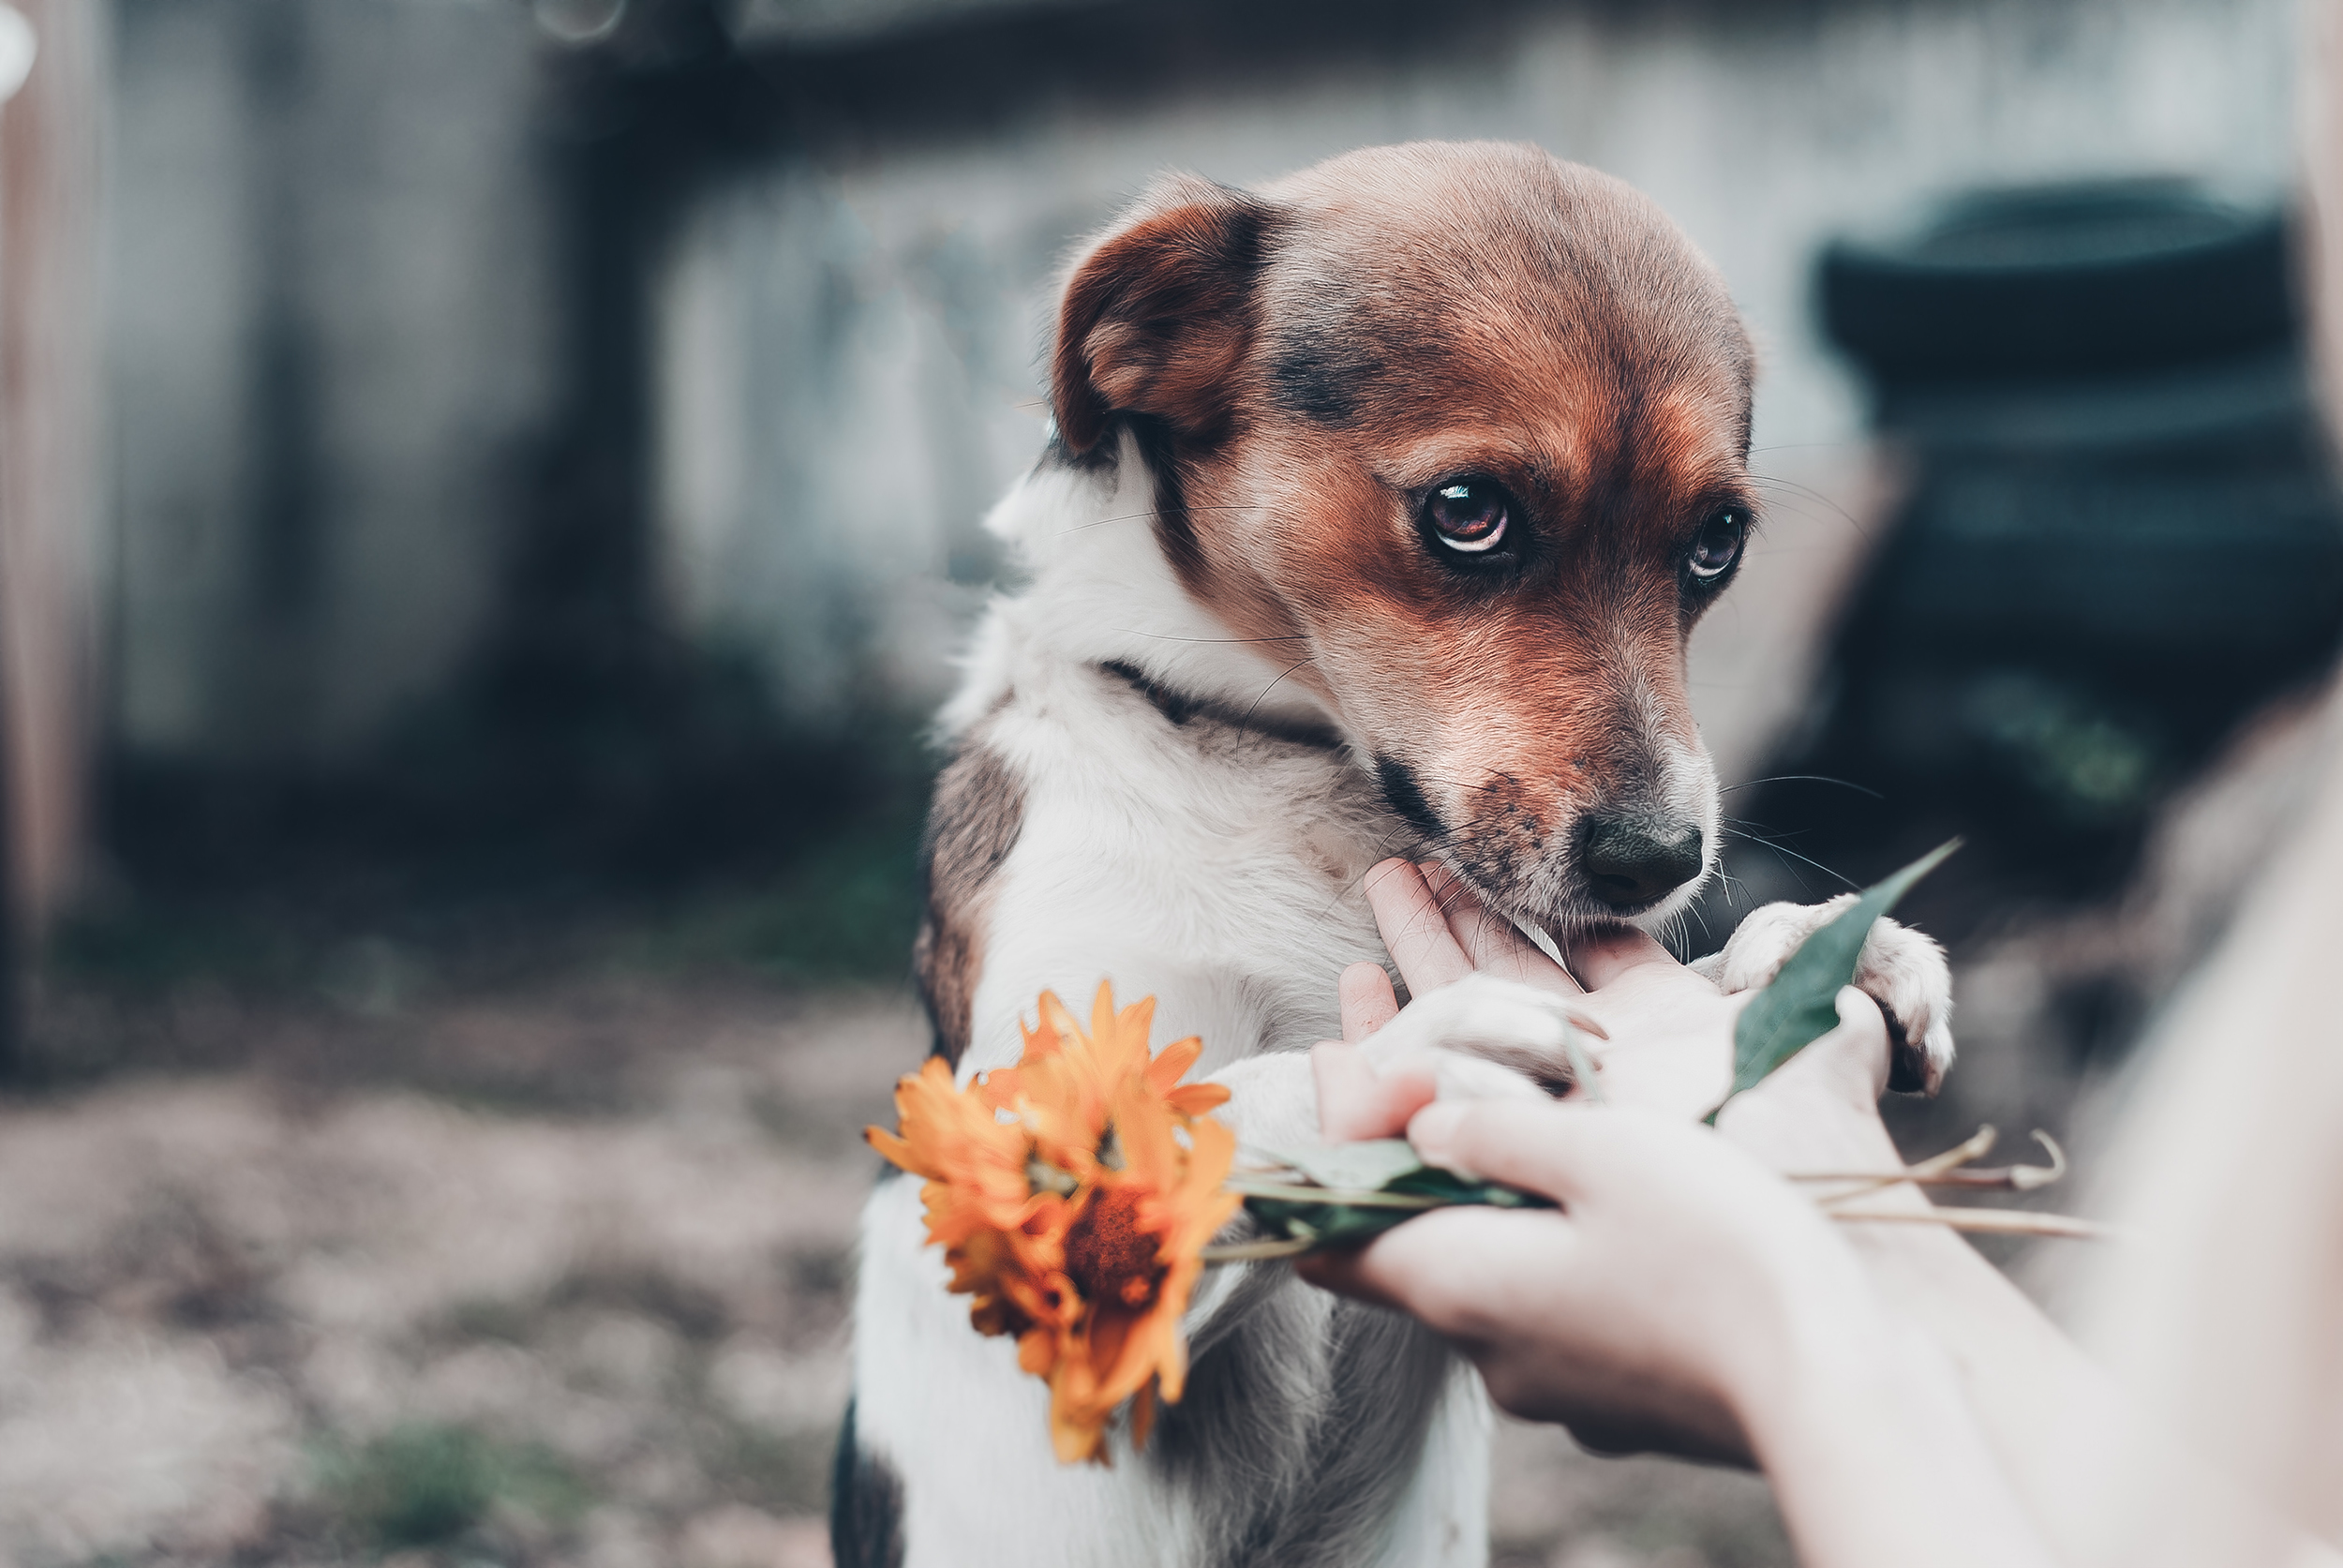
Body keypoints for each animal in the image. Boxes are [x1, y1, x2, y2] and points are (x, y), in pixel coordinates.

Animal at [834, 141, 1949, 1565]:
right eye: (1469, 512)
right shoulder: (1009, 1202)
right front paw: (1411, 1052)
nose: (1657, 862)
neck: (1289, 776)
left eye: (1717, 543)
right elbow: (1202, 1109)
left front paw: (1808, 948)